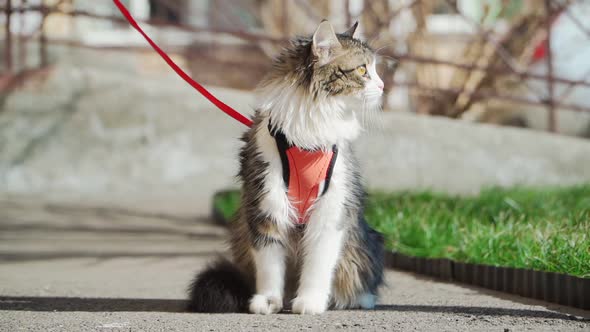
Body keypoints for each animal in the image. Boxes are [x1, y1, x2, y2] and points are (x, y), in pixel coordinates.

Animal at [187, 20, 386, 314]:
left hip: (365, 242)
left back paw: (357, 299)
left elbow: (318, 267)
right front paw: (268, 301)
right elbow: (270, 267)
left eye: (374, 69)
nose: (383, 86)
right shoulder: (267, 206)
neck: (308, 140)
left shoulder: (330, 212)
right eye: (363, 70)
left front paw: (310, 302)